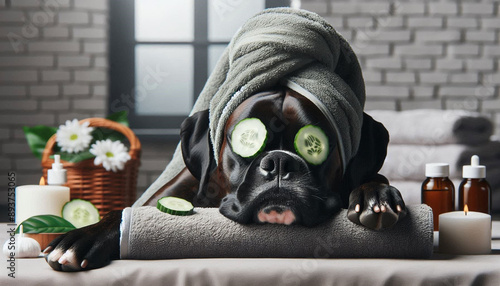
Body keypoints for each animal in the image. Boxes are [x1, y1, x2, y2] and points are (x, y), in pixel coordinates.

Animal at [45, 88, 406, 272]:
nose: (279, 162)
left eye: (316, 144)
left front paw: (376, 197)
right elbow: (122, 213)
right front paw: (83, 237)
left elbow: (374, 178)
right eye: (246, 139)